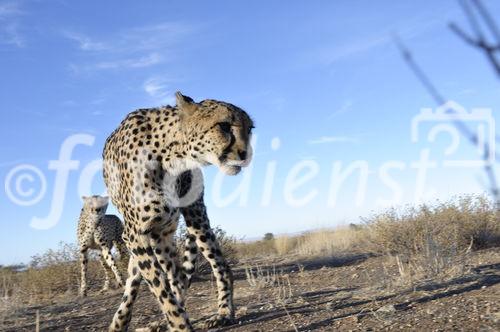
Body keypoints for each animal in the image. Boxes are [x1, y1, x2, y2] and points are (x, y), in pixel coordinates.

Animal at [104, 91, 254, 332]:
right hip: (156, 237)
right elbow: (159, 287)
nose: (244, 154)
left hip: (180, 226)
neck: (171, 154)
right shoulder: (136, 234)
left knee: (192, 272)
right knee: (157, 277)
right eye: (223, 125)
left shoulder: (191, 215)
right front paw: (179, 324)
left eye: (250, 129)